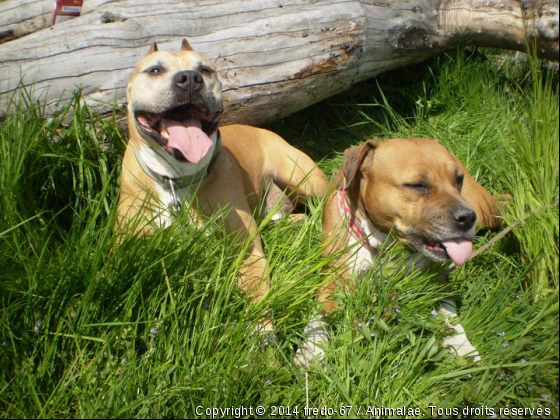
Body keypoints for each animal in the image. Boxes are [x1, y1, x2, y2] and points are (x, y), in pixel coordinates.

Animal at [117, 41, 328, 334]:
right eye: (155, 70)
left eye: (205, 69)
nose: (190, 78)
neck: (176, 179)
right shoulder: (126, 248)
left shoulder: (247, 251)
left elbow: (255, 294)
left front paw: (262, 334)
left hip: (301, 176)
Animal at [294, 139, 504, 368]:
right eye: (417, 185)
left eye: (458, 180)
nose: (467, 217)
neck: (386, 243)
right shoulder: (334, 276)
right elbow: (319, 310)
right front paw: (311, 347)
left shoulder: (438, 277)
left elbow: (447, 309)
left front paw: (461, 343)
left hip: (486, 211)